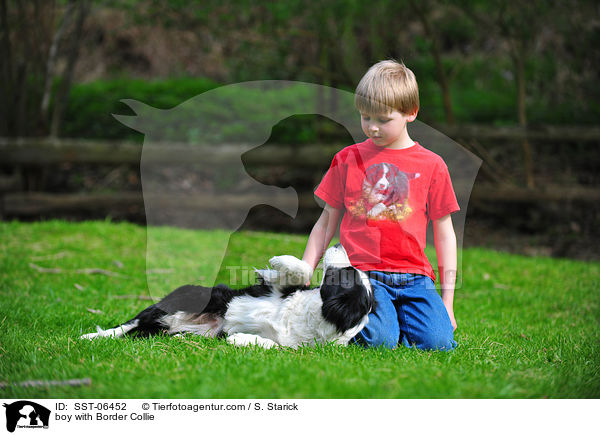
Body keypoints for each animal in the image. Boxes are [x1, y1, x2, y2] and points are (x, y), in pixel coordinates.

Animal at [78, 245, 372, 350]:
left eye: (345, 275)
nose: (337, 244)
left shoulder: (295, 347)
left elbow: (271, 344)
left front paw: (237, 338)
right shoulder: (276, 289)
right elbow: (297, 271)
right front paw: (277, 260)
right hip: (188, 295)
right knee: (129, 324)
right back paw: (89, 337)